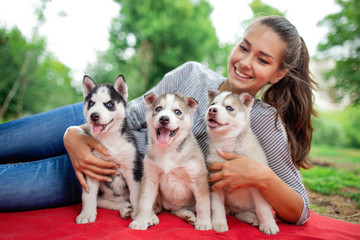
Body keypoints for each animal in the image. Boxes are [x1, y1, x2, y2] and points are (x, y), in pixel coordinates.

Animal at [76, 75, 143, 223]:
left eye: (110, 104)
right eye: (91, 103)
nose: (94, 116)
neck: (109, 139)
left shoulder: (133, 168)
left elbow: (136, 194)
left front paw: (139, 215)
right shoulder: (91, 169)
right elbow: (88, 195)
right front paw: (86, 214)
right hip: (104, 197)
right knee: (108, 203)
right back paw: (123, 207)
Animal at [129, 92, 212, 231]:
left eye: (177, 112)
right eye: (158, 109)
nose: (164, 119)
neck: (168, 149)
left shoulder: (197, 178)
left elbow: (203, 203)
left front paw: (204, 222)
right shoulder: (150, 178)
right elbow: (144, 202)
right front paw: (140, 221)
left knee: (176, 209)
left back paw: (188, 215)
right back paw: (153, 216)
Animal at [205, 89, 278, 234]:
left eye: (229, 108)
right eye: (213, 104)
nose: (212, 110)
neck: (226, 143)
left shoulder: (259, 183)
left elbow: (263, 208)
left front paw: (268, 225)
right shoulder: (215, 181)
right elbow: (217, 206)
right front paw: (219, 223)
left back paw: (253, 218)